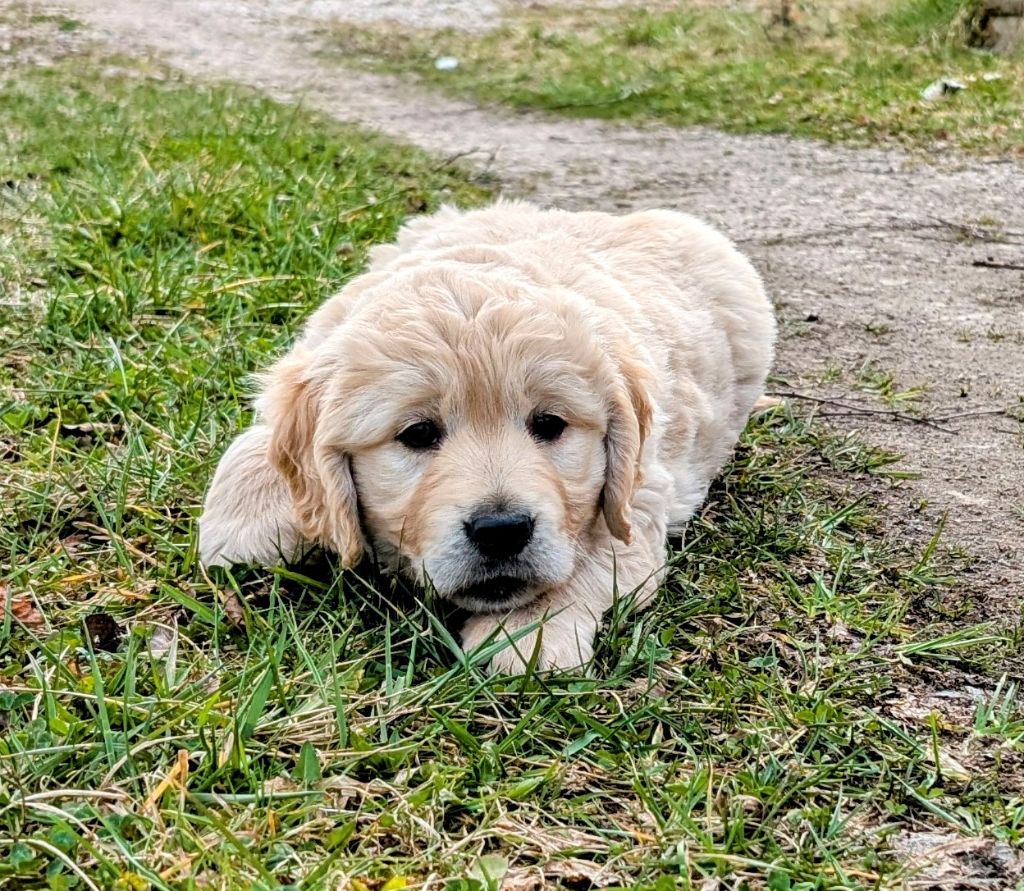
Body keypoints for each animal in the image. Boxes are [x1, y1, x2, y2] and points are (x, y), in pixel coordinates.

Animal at [197, 202, 774, 671]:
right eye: (418, 433)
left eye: (550, 425)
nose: (502, 530)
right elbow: (256, 440)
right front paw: (241, 529)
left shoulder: (640, 492)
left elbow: (584, 559)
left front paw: (524, 636)